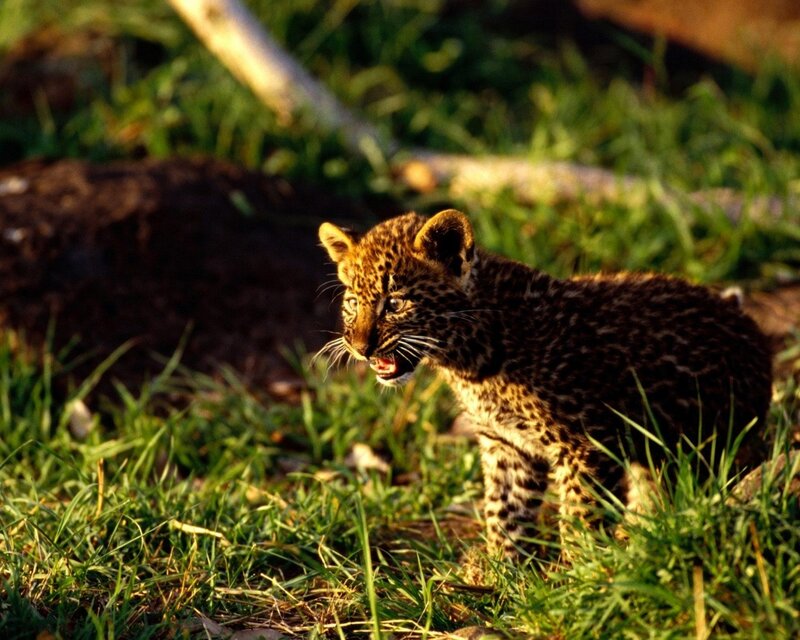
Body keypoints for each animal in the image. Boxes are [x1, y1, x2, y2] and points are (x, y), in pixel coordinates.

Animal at [317, 209, 773, 559]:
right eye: (352, 302)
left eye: (394, 303)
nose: (359, 347)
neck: (471, 360)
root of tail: (746, 321)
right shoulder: (507, 444)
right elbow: (504, 510)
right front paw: (500, 572)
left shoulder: (586, 446)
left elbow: (580, 518)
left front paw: (583, 576)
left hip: (714, 441)